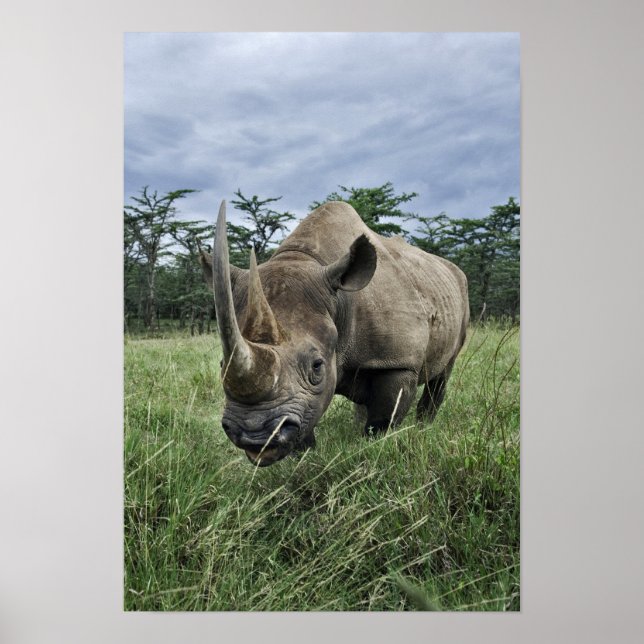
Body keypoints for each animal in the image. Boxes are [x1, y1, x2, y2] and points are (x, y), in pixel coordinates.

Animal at [201, 200, 469, 466]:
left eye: (317, 366)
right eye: (222, 365)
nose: (255, 436)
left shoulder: (398, 362)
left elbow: (382, 421)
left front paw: (374, 449)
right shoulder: (306, 396)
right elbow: (309, 417)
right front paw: (305, 459)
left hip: (458, 291)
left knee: (444, 371)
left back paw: (424, 428)